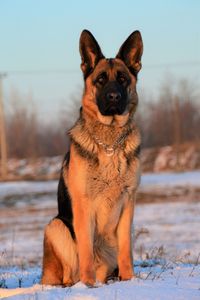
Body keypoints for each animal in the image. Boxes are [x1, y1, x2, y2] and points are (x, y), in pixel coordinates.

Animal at [41, 29, 143, 288]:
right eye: (100, 80)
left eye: (123, 79)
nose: (114, 97)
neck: (109, 144)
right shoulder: (84, 205)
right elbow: (86, 249)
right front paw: (87, 286)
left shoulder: (128, 203)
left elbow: (126, 251)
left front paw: (129, 281)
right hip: (56, 226)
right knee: (69, 273)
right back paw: (78, 283)